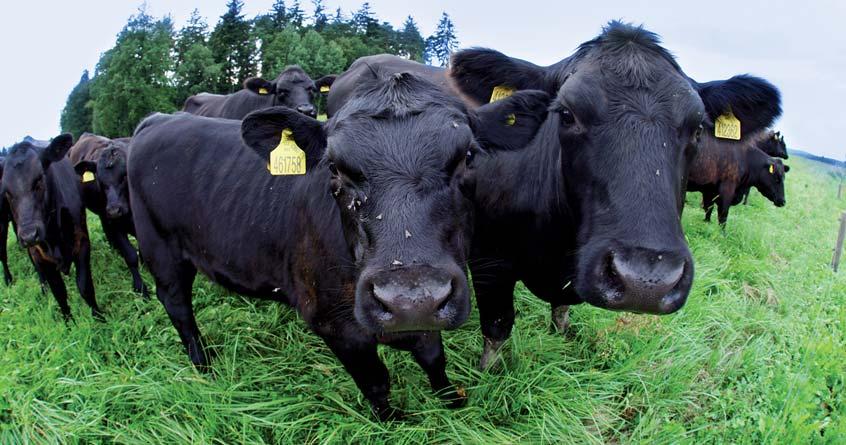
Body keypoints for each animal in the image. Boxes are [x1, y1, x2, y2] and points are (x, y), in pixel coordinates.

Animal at [1, 134, 102, 320]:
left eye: (39, 179)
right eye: (6, 191)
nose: (29, 235)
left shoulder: (82, 240)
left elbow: (85, 286)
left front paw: (100, 318)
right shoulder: (40, 254)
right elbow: (59, 292)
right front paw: (69, 322)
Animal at [68, 134, 147, 296]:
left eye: (124, 176)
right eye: (100, 180)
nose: (114, 209)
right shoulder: (115, 224)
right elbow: (130, 255)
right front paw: (140, 288)